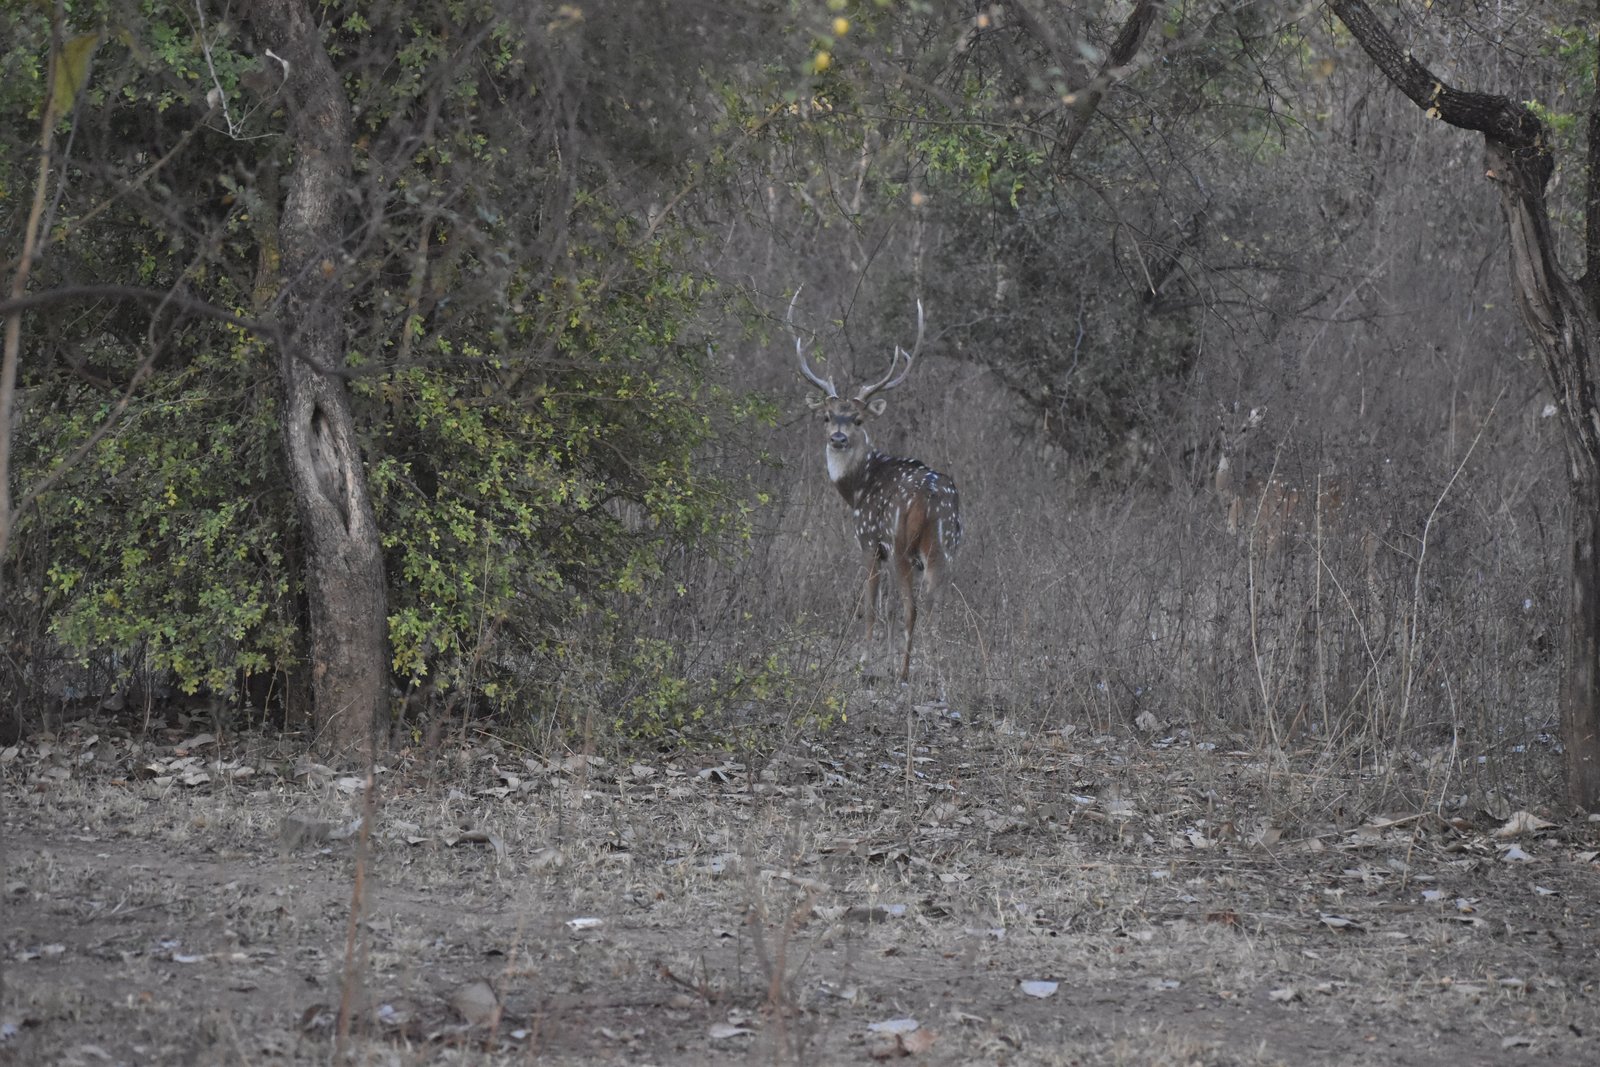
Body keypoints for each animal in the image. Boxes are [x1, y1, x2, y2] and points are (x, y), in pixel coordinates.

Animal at [787, 290, 962, 684]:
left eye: (858, 419)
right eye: (826, 417)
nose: (837, 438)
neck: (857, 487)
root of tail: (930, 497)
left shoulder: (869, 542)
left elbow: (870, 606)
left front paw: (866, 663)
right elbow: (888, 608)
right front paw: (883, 659)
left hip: (901, 545)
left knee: (914, 608)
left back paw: (905, 672)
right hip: (945, 546)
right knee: (936, 605)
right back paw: (933, 669)